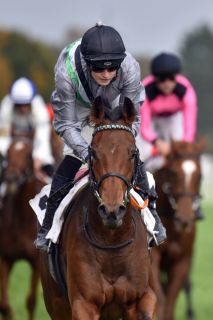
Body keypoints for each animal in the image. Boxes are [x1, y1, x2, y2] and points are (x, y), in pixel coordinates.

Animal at [40, 95, 156, 320]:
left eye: (132, 153)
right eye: (93, 152)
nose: (112, 211)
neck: (112, 242)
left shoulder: (140, 298)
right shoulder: (83, 304)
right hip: (56, 302)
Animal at [151, 140, 205, 320]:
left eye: (200, 175)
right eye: (173, 173)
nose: (184, 219)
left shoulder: (182, 261)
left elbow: (170, 301)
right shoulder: (153, 259)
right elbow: (160, 300)